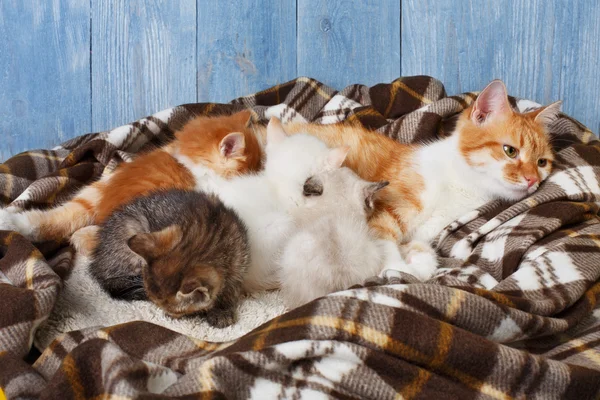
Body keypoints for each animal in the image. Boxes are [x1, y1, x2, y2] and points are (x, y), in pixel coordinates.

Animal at [89, 188, 248, 328]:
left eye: (174, 311)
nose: (167, 315)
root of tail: (96, 261)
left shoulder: (240, 261)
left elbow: (232, 289)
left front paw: (222, 311)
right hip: (131, 228)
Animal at [278, 81, 560, 280]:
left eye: (542, 162)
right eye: (510, 151)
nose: (532, 180)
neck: (462, 184)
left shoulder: (426, 232)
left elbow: (423, 252)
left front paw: (414, 267)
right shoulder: (379, 211)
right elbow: (384, 242)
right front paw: (394, 266)